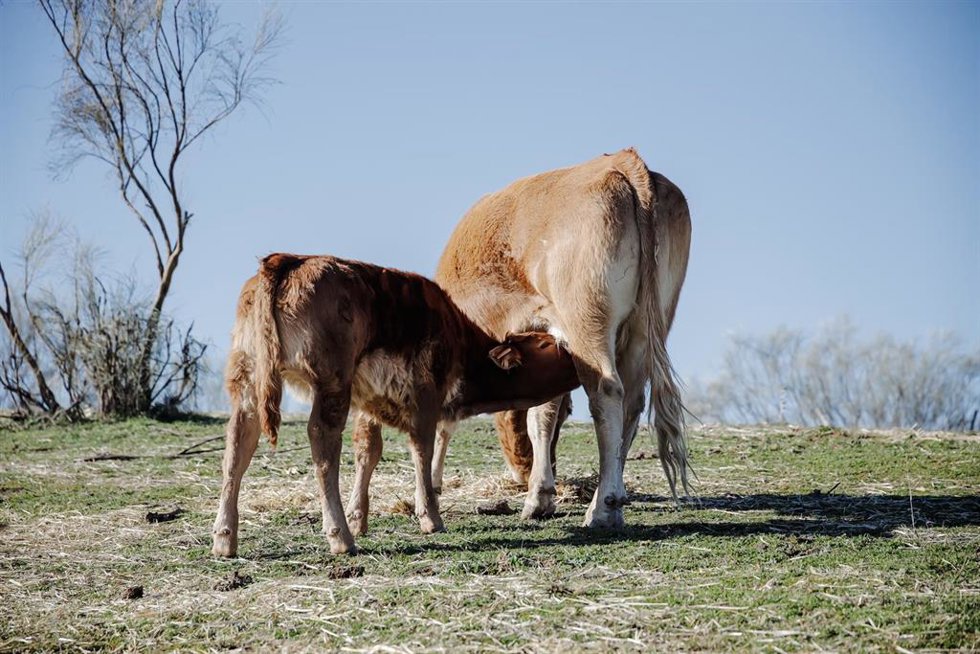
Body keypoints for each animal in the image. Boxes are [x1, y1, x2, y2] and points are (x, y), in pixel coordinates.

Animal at [211, 253, 580, 557]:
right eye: (546, 345)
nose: (573, 348)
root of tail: (287, 259)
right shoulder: (425, 394)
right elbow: (422, 449)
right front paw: (429, 516)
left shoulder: (368, 404)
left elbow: (368, 452)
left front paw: (360, 517)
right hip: (332, 381)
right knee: (322, 444)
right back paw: (340, 537)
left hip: (247, 379)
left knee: (236, 449)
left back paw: (225, 539)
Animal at [354, 148, 692, 528]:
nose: (523, 472)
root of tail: (622, 162)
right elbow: (542, 414)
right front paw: (540, 495)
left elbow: (446, 422)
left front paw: (433, 487)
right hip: (644, 329)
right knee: (632, 402)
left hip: (587, 323)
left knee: (607, 393)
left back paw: (602, 508)